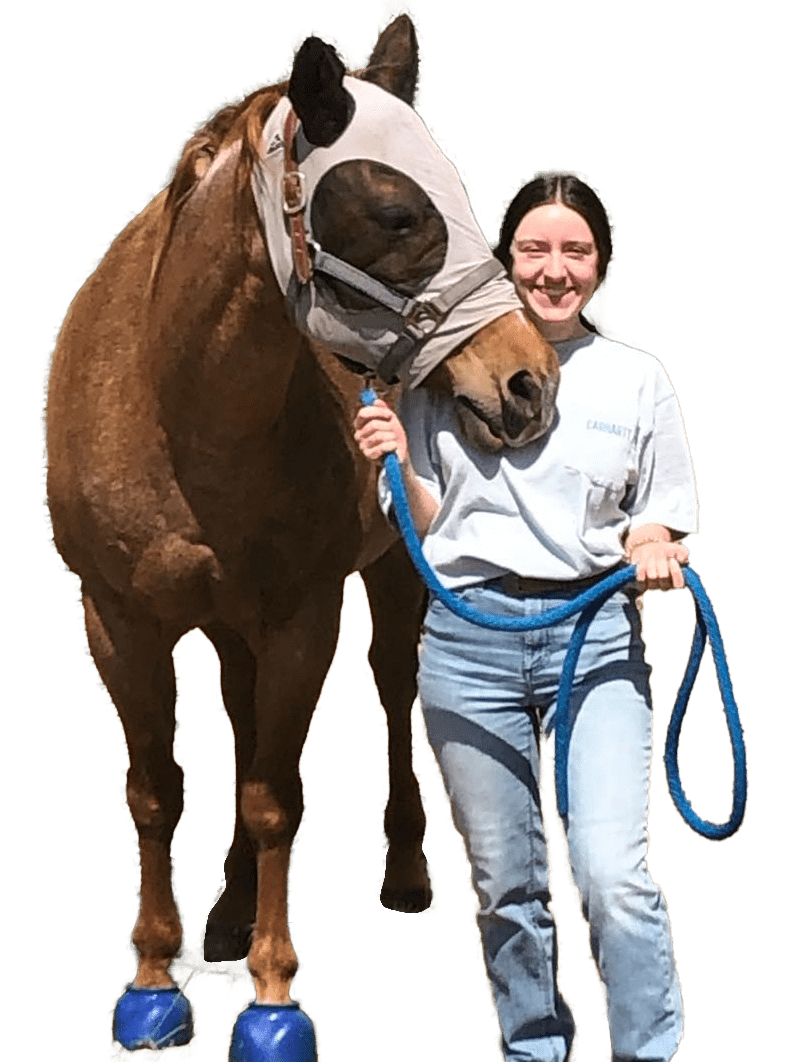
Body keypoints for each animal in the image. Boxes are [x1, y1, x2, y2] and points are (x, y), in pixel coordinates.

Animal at [44, 12, 559, 1050]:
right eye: (398, 214)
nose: (526, 383)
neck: (176, 402)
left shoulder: (300, 619)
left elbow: (275, 798)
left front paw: (273, 999)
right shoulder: (117, 618)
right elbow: (155, 788)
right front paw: (153, 980)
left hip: (391, 574)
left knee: (391, 686)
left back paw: (401, 870)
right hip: (224, 619)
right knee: (241, 722)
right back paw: (227, 910)